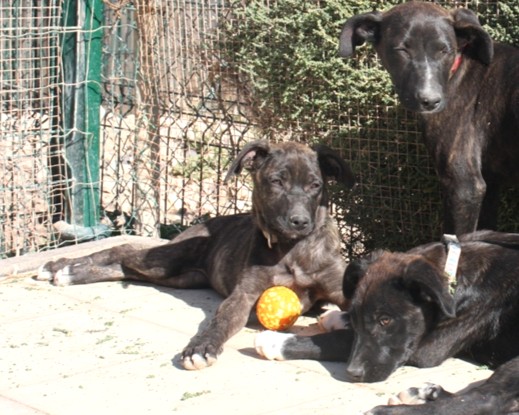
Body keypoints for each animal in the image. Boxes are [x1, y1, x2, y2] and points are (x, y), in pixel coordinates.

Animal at [37, 140, 355, 370]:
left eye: (316, 185)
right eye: (277, 182)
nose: (300, 222)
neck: (292, 249)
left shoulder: (340, 288)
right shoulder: (243, 296)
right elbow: (219, 323)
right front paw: (201, 347)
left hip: (178, 277)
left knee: (125, 268)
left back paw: (66, 270)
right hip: (169, 259)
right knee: (123, 251)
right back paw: (63, 266)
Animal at [255, 230, 519, 412]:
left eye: (385, 321)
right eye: (355, 316)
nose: (353, 373)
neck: (455, 273)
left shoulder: (426, 349)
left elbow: (336, 341)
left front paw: (276, 341)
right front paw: (336, 317)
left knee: (487, 399)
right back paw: (425, 393)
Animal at [338, 1, 519, 236]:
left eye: (444, 50)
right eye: (402, 50)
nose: (431, 101)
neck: (456, 69)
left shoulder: (464, 186)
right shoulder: (490, 183)